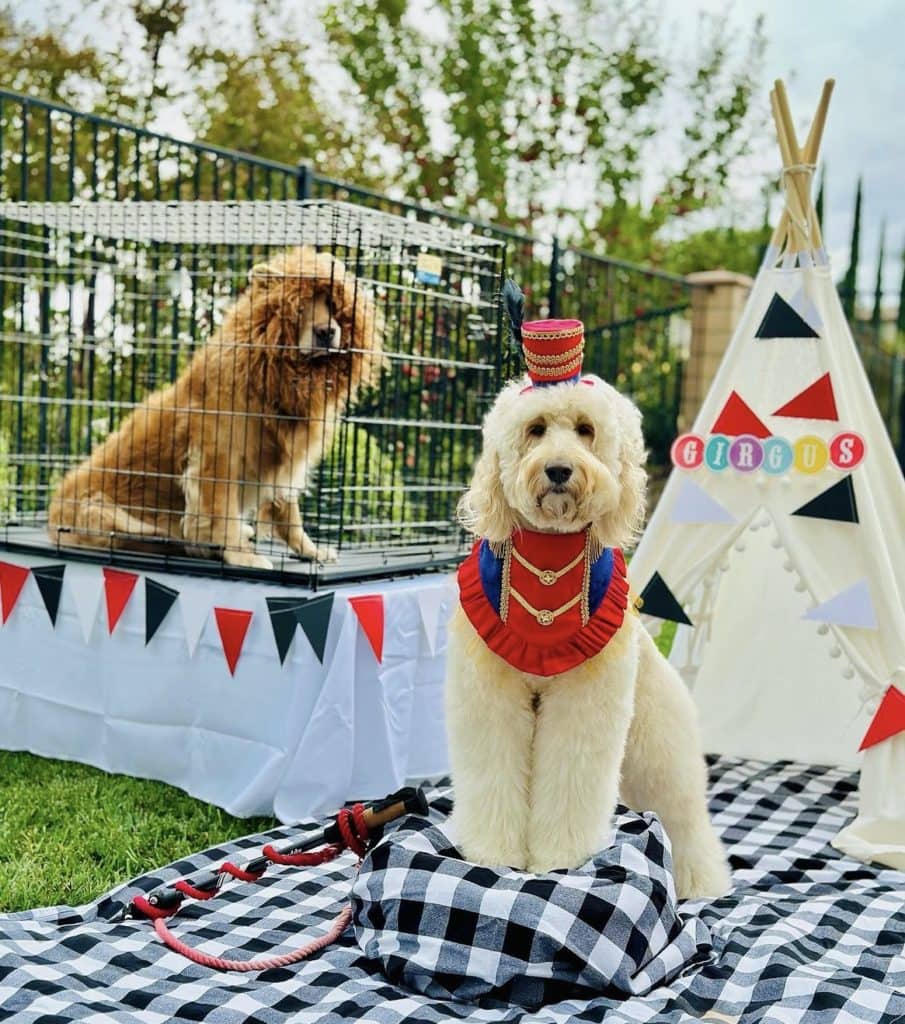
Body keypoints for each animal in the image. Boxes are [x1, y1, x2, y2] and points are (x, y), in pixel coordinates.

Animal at [47, 246, 382, 569]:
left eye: (332, 305)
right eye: (299, 307)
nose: (327, 332)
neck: (276, 374)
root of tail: (52, 517)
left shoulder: (284, 458)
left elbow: (290, 516)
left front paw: (311, 551)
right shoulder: (219, 458)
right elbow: (223, 515)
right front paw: (242, 555)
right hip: (102, 510)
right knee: (153, 535)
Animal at [446, 372, 737, 901]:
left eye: (585, 429)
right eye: (536, 428)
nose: (559, 470)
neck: (548, 556)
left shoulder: (583, 705)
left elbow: (568, 782)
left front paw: (559, 859)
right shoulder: (490, 699)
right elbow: (493, 775)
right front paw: (492, 854)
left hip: (658, 752)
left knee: (685, 821)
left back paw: (700, 882)